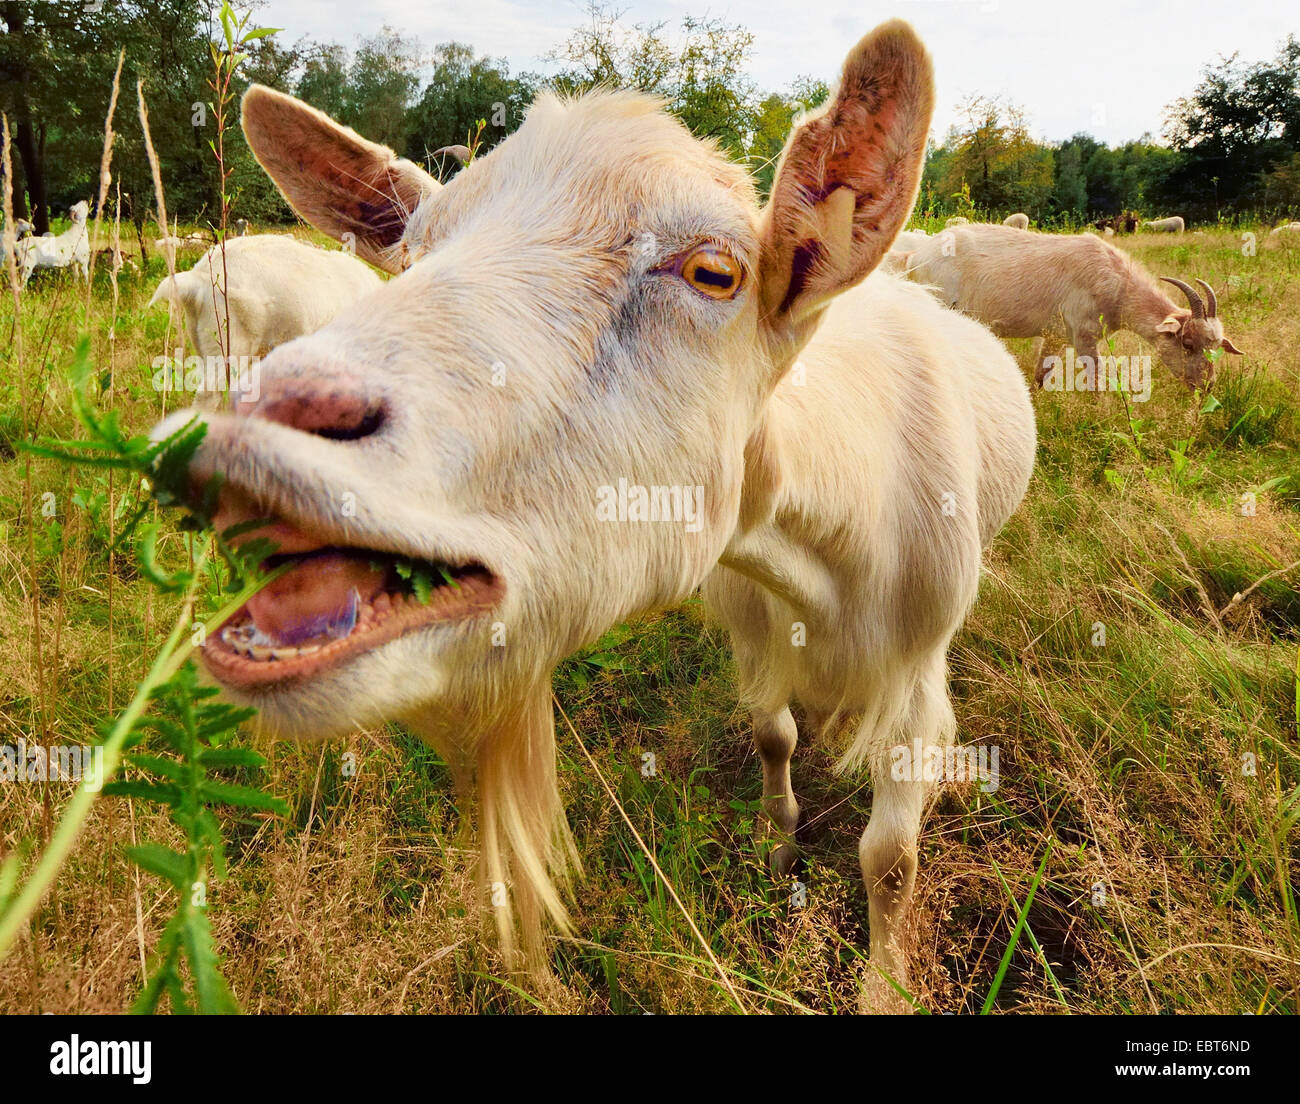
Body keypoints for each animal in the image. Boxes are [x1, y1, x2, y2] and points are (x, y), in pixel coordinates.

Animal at [151, 19, 1036, 1011]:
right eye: (411, 257)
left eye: (714, 272)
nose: (243, 436)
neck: (827, 542)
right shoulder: (748, 619)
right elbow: (772, 732)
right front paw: (778, 836)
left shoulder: (917, 669)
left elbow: (890, 855)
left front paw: (886, 981)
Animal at [903, 223, 1242, 391]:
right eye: (1187, 343)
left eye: (1217, 347)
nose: (1207, 386)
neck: (1117, 282)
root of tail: (917, 255)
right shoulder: (1084, 333)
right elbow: (1096, 380)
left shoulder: (1056, 336)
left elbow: (1041, 374)